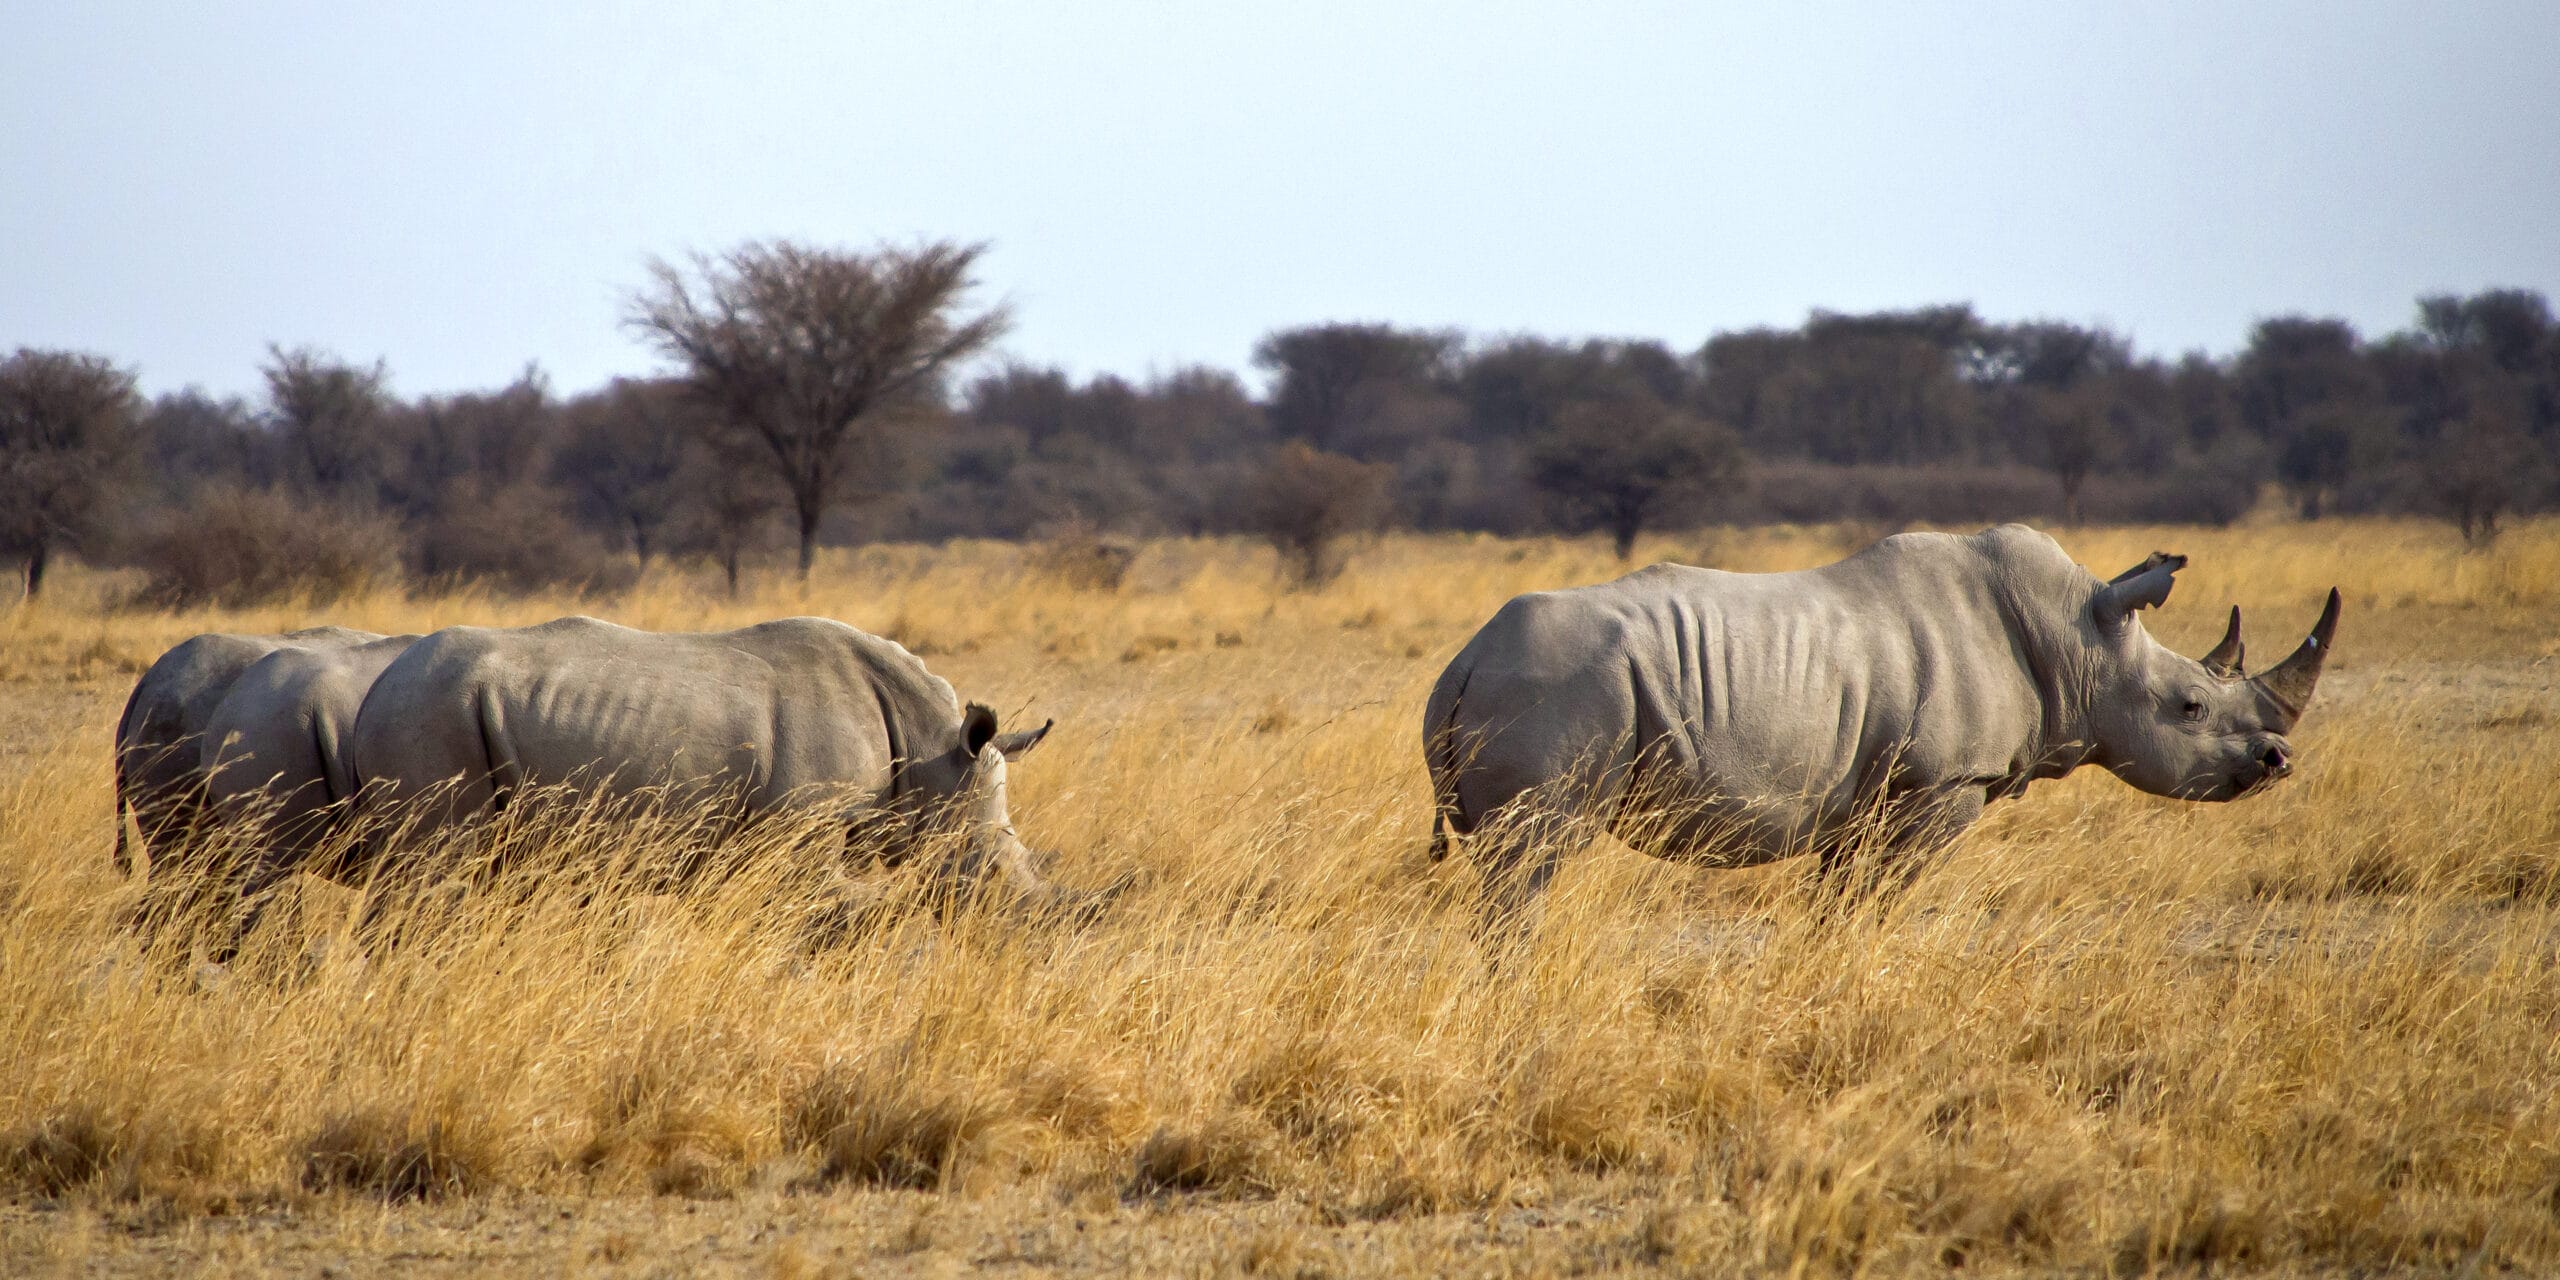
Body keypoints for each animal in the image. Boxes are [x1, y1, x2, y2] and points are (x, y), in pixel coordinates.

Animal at [341, 615, 1084, 912]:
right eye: (986, 874)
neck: (932, 748)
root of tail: (372, 693)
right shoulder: (799, 834)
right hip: (429, 714)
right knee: (434, 872)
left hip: (432, 708)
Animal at [1422, 525, 2340, 927]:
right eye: (2190, 708)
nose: (2278, 760)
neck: (2077, 636)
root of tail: (1461, 663)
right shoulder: (1943, 784)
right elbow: (1881, 895)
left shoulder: (1860, 797)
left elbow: (1839, 899)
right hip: (1559, 687)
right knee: (1534, 856)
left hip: (1539, 681)